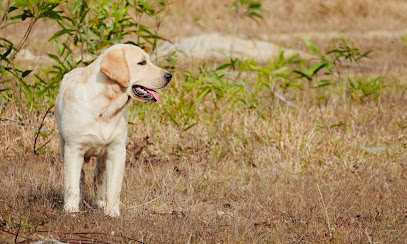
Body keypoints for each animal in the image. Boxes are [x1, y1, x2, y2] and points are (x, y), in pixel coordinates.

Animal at [54, 43, 172, 215]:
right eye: (142, 63)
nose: (169, 76)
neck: (105, 107)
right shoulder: (73, 148)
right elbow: (71, 185)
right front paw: (71, 210)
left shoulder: (117, 150)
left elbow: (114, 187)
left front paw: (112, 213)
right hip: (64, 146)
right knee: (80, 177)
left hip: (102, 157)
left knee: (99, 177)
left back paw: (101, 203)